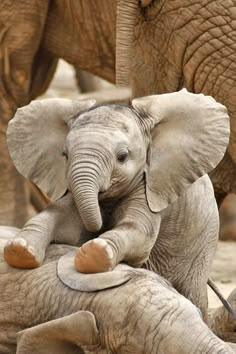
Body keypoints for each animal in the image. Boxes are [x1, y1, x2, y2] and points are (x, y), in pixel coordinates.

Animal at [3, 91, 229, 318]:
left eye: (122, 157)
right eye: (64, 155)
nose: (99, 228)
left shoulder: (148, 186)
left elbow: (139, 232)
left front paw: (94, 253)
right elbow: (61, 218)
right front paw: (19, 250)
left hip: (202, 242)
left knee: (193, 291)